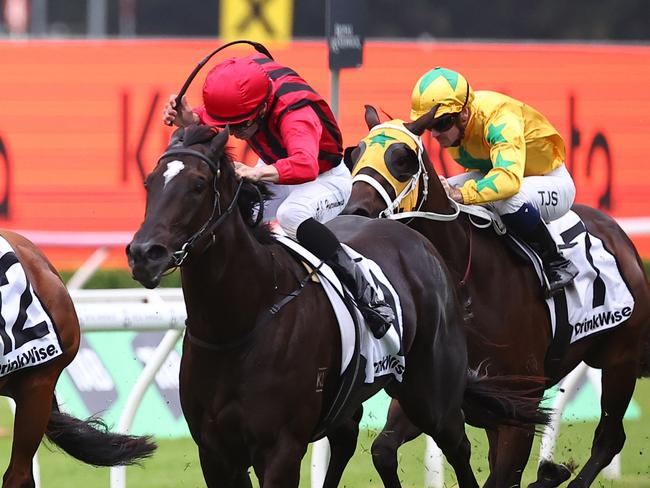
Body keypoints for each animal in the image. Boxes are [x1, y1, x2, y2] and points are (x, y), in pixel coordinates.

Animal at [125, 125, 548, 488]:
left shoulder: (280, 450)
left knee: (457, 445)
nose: (144, 254)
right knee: (347, 441)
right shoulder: (215, 453)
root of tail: (413, 235)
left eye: (198, 184)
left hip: (432, 394)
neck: (240, 323)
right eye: (149, 182)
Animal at [340, 105, 648, 486]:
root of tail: (620, 237)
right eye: (353, 156)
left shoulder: (520, 408)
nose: (355, 212)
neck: (462, 281)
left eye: (402, 159)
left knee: (609, 438)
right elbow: (383, 450)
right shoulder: (434, 393)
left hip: (620, 359)